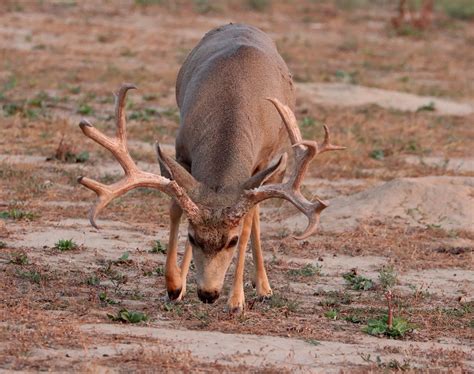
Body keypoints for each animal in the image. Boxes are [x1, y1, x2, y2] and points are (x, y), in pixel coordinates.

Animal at [78, 23, 344, 314]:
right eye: (193, 237)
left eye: (232, 241)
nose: (208, 293)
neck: (231, 103)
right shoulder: (182, 150)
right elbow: (176, 208)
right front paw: (175, 286)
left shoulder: (258, 166)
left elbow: (247, 223)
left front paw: (236, 301)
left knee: (256, 216)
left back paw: (263, 287)